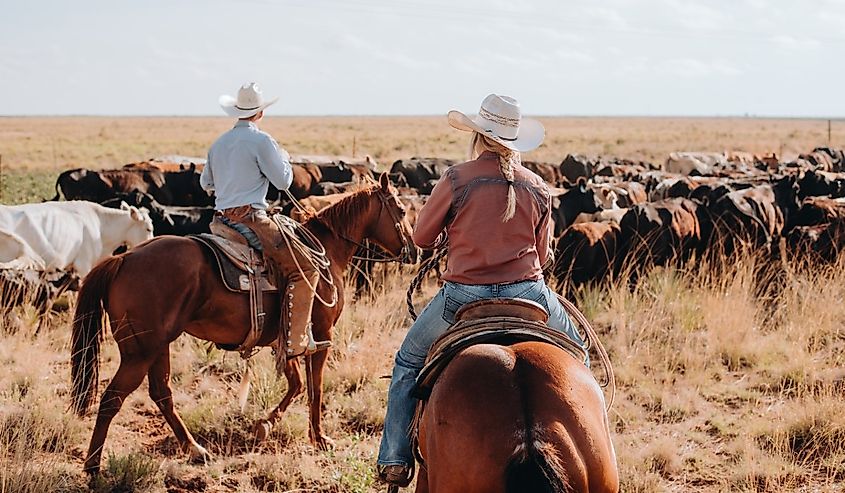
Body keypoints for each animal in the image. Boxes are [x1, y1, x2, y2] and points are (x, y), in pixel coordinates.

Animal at [69, 173, 418, 472]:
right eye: (401, 209)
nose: (414, 250)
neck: (326, 251)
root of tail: (123, 258)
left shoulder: (285, 336)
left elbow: (296, 383)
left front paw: (264, 425)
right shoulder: (320, 333)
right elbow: (315, 387)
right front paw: (319, 438)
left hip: (157, 346)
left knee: (161, 393)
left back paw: (195, 449)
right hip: (139, 352)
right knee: (112, 398)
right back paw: (93, 465)